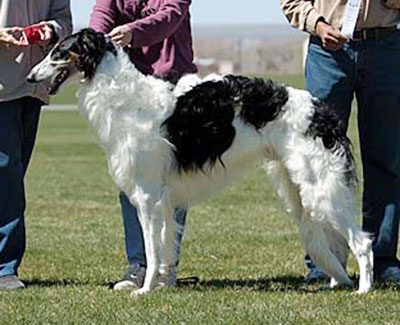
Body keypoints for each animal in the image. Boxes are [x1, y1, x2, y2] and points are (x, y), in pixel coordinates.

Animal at [27, 29, 372, 294]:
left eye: (59, 52)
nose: (30, 76)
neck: (122, 96)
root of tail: (322, 111)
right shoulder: (164, 199)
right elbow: (165, 247)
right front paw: (162, 285)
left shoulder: (148, 195)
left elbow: (152, 251)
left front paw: (145, 289)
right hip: (299, 190)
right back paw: (338, 283)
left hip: (321, 190)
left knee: (361, 243)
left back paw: (363, 289)